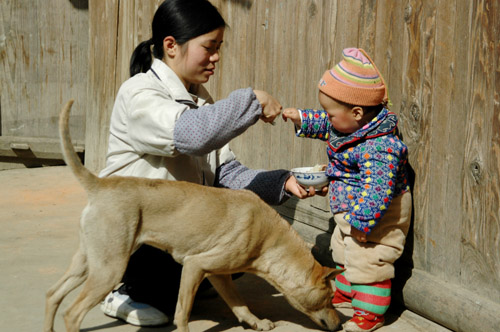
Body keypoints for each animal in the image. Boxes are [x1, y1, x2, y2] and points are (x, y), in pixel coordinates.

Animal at [44, 100, 344, 332]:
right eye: (330, 297)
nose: (340, 325)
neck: (269, 240)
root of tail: (100, 185)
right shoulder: (194, 265)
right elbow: (182, 314)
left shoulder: (218, 274)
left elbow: (239, 304)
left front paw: (256, 322)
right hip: (110, 267)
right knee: (72, 313)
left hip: (90, 260)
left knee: (52, 294)